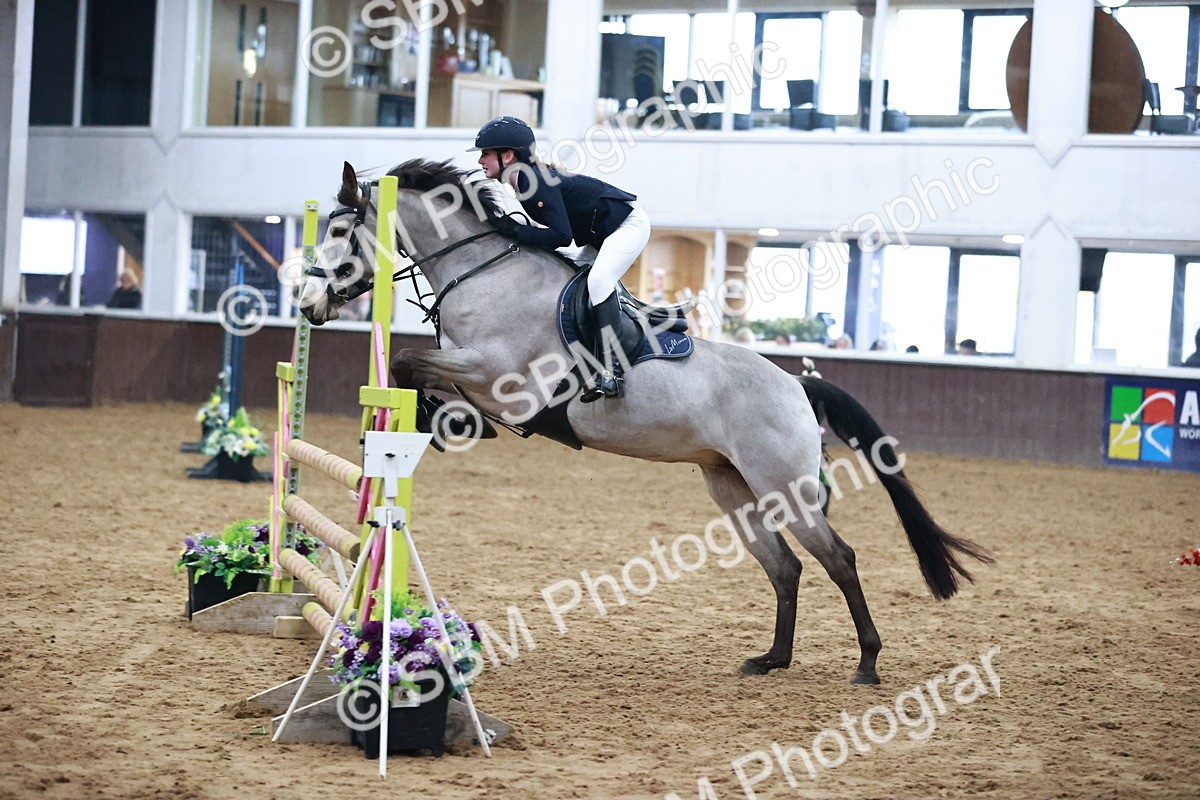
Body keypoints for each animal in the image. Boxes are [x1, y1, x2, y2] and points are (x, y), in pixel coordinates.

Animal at [298, 159, 993, 684]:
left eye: (340, 228)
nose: (306, 305)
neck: (485, 275)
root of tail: (797, 384)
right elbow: (416, 367)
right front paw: (444, 420)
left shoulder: (499, 374)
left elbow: (411, 361)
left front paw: (451, 421)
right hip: (732, 487)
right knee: (784, 567)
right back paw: (772, 659)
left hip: (785, 488)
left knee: (838, 559)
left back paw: (867, 664)